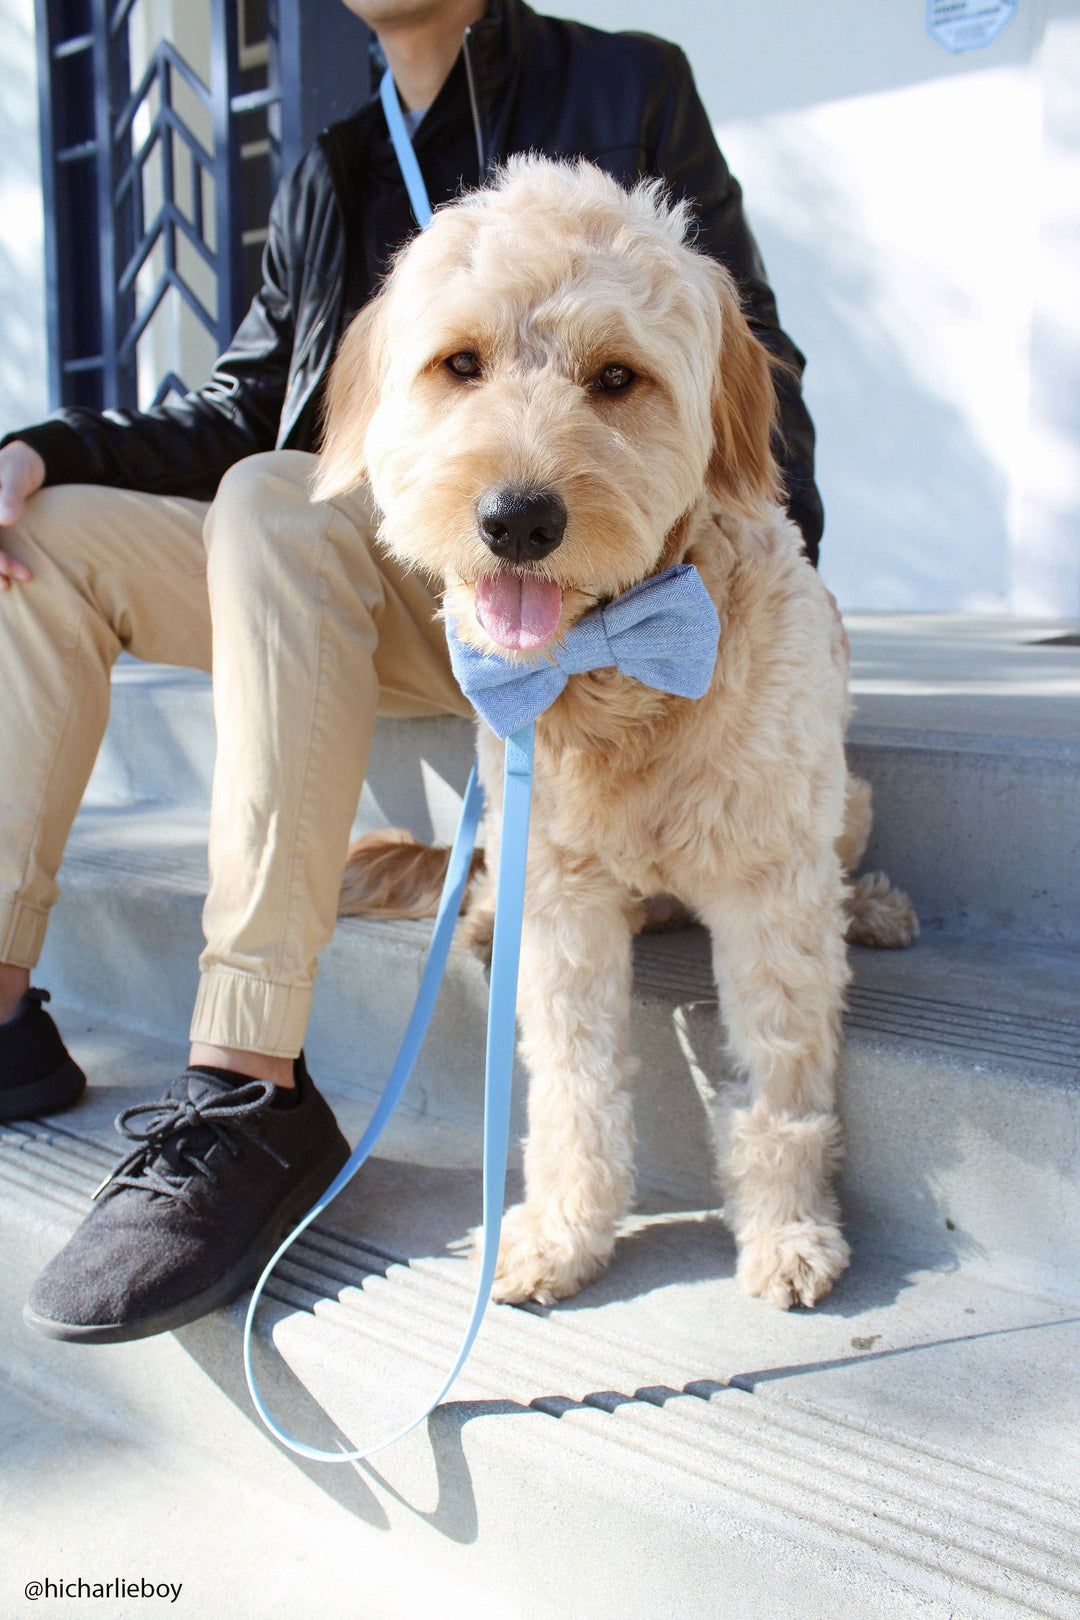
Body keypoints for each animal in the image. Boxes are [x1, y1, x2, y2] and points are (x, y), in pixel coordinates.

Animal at [317, 157, 919, 1308]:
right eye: (461, 365)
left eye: (615, 377)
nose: (518, 519)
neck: (618, 668)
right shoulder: (561, 896)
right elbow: (571, 1083)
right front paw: (563, 1231)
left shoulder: (770, 889)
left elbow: (783, 1076)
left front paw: (788, 1228)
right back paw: (479, 921)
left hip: (846, 803)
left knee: (846, 866)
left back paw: (870, 905)